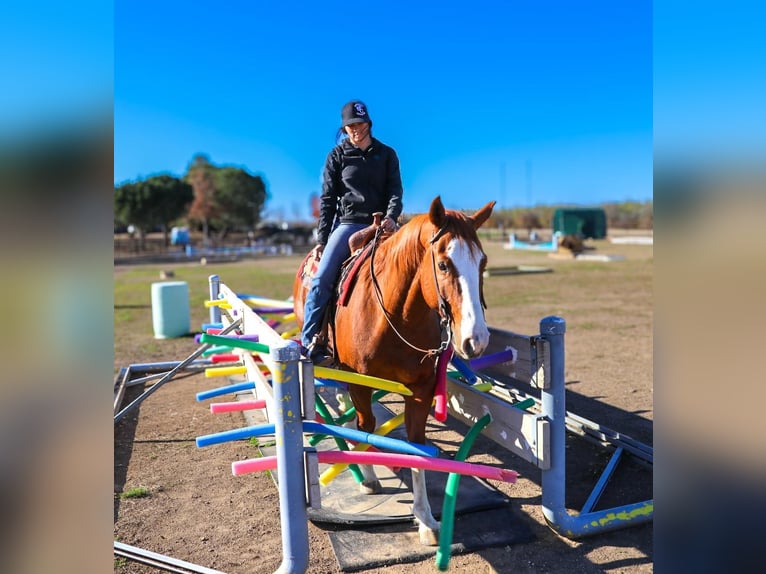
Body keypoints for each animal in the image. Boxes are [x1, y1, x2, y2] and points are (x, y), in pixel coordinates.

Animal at [292, 196, 496, 548]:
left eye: (482, 262)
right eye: (444, 264)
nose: (477, 340)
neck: (395, 314)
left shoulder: (421, 390)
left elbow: (416, 445)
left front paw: (426, 519)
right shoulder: (360, 383)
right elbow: (366, 427)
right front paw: (368, 477)